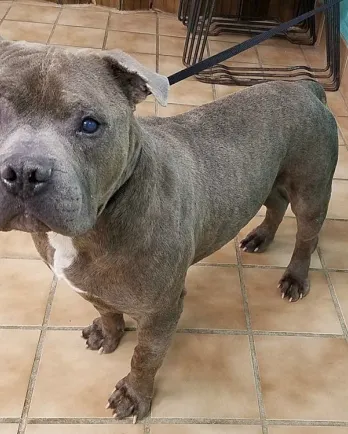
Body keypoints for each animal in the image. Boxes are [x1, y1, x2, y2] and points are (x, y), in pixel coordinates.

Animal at [0, 40, 338, 420]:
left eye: (89, 124)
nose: (23, 172)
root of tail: (306, 88)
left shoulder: (161, 311)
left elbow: (145, 356)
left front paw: (134, 395)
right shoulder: (88, 285)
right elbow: (106, 309)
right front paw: (108, 333)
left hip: (310, 189)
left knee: (307, 236)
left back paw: (294, 278)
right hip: (267, 177)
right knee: (276, 204)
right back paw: (260, 237)